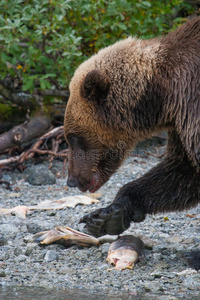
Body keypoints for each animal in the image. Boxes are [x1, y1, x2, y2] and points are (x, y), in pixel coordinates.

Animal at [65, 17, 199, 241]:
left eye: (73, 137)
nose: (71, 181)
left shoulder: (191, 102)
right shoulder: (182, 121)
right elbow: (182, 170)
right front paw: (106, 216)